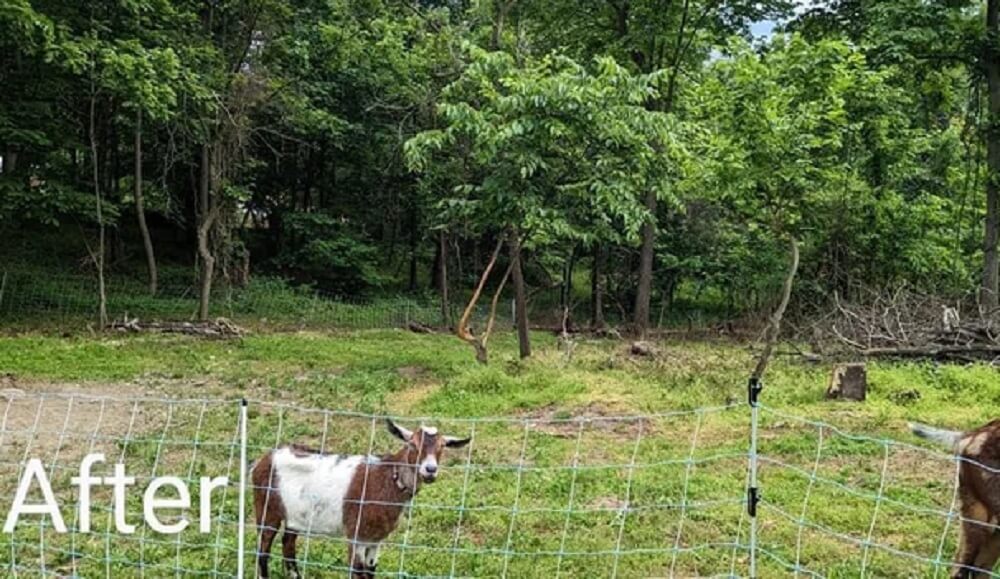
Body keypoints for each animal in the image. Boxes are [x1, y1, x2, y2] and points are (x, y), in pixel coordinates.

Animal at [251, 419, 470, 578]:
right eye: (413, 445)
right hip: (266, 508)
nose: (430, 470)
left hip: (295, 514)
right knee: (263, 548)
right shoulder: (356, 535)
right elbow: (357, 571)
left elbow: (370, 571)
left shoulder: (375, 540)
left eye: (442, 446)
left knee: (288, 543)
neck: (387, 479)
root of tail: (263, 459)